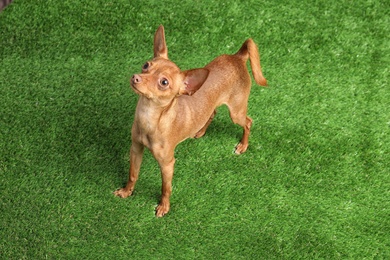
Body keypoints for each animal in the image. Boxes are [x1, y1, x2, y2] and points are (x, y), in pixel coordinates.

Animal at [112, 25, 266, 216]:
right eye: (146, 65)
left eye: (164, 82)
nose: (136, 77)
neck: (149, 118)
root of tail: (237, 57)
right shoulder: (136, 149)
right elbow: (133, 174)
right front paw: (126, 191)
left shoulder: (167, 164)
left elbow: (166, 188)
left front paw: (164, 206)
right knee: (212, 113)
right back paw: (200, 131)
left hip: (236, 113)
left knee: (248, 122)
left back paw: (243, 145)